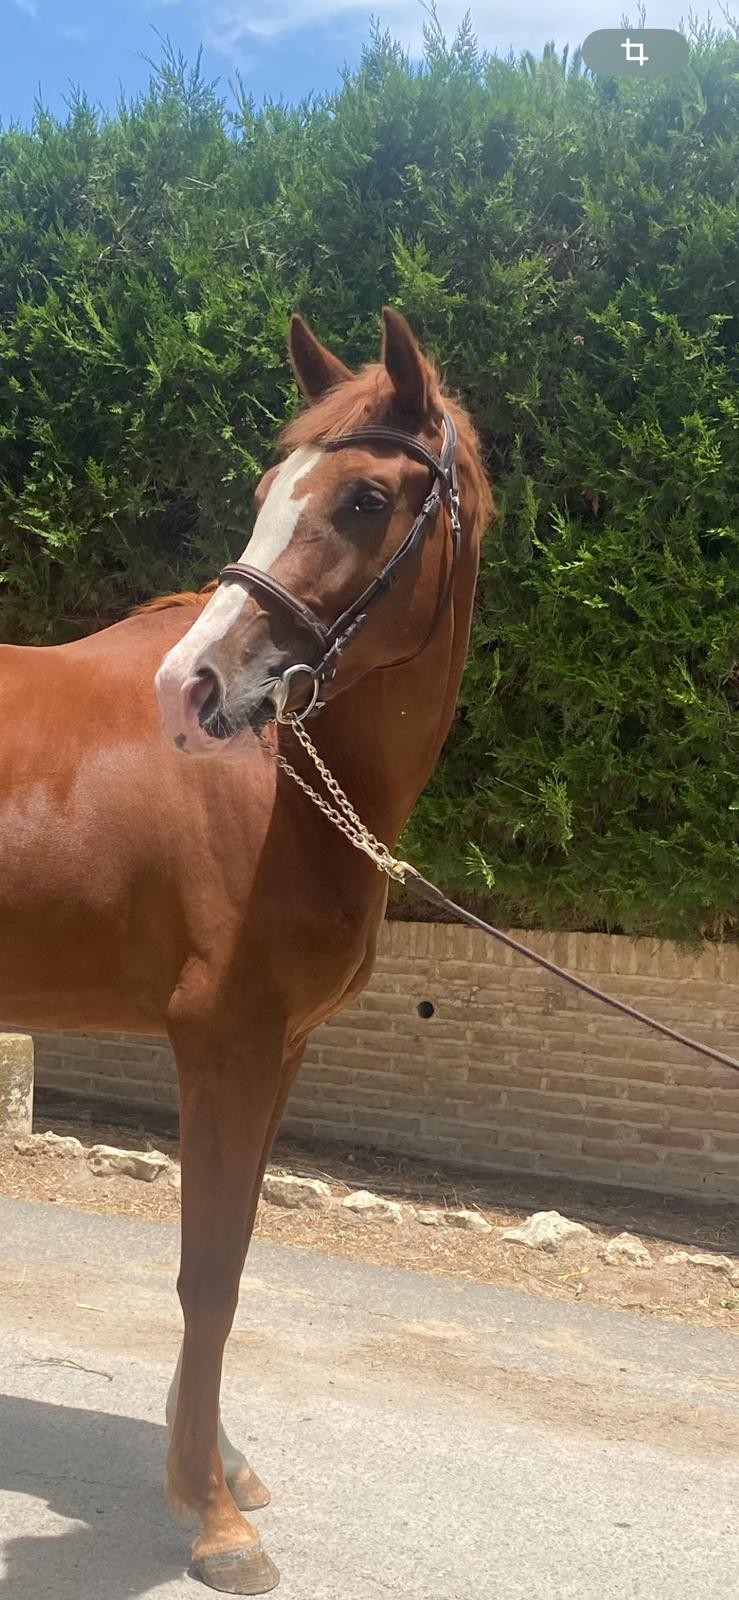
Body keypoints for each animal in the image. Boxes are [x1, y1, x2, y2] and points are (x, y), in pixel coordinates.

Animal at [0, 307, 492, 1593]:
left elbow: (229, 1252)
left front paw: (213, 1462)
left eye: (364, 497)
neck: (278, 789)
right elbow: (208, 1270)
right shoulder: (222, 1042)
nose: (193, 687)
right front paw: (212, 1515)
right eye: (271, 491)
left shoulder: (279, 1051)